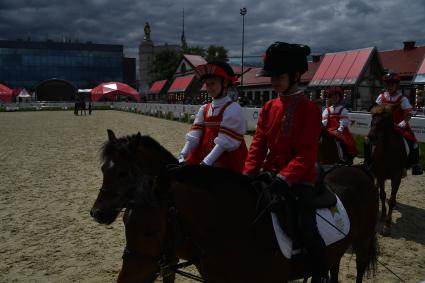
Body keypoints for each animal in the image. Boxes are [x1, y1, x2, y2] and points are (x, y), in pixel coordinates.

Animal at [368, 105, 408, 236]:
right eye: (372, 117)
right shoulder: (381, 175)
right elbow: (383, 195)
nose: (371, 137)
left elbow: (391, 200)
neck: (388, 153)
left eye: (385, 120)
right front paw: (383, 216)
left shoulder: (396, 177)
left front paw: (387, 225)